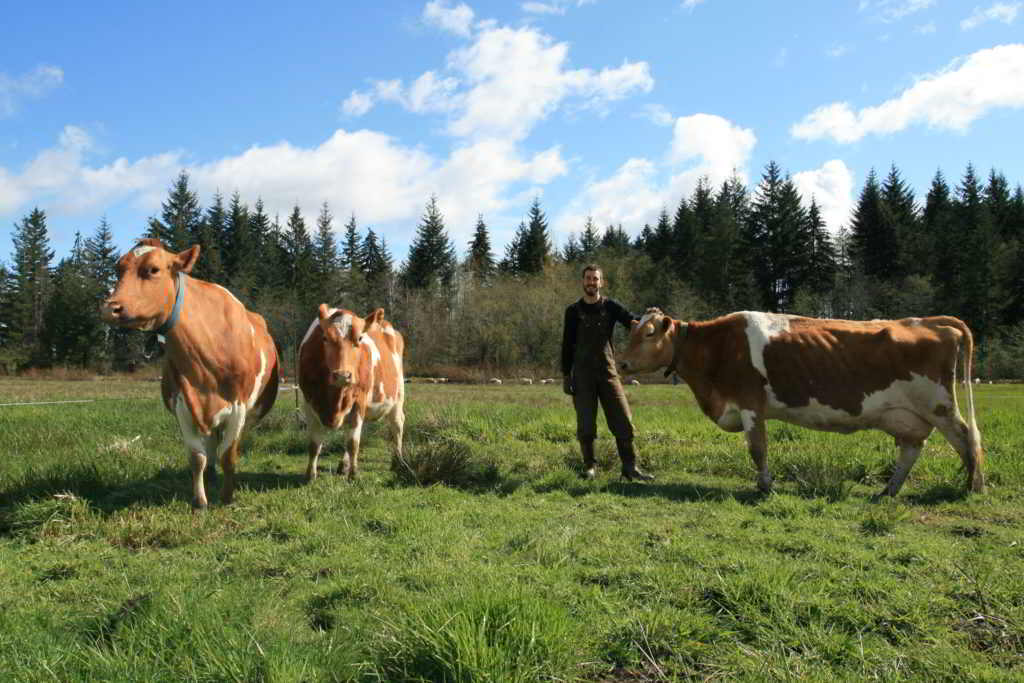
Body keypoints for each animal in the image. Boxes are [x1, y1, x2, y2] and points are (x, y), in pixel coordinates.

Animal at [101, 239, 280, 509]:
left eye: (153, 269)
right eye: (118, 269)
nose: (110, 308)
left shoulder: (238, 406)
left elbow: (229, 455)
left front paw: (227, 498)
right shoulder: (182, 403)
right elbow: (197, 458)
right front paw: (200, 501)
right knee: (212, 443)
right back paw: (212, 475)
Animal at [298, 304, 405, 482]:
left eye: (360, 339)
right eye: (325, 338)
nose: (342, 375)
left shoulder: (358, 402)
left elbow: (353, 443)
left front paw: (354, 474)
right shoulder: (308, 402)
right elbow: (314, 444)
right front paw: (310, 475)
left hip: (397, 397)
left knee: (397, 425)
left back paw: (398, 461)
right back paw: (344, 465)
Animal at [617, 309, 984, 499]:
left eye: (649, 333)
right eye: (632, 329)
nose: (621, 363)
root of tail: (929, 321)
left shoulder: (750, 403)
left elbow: (758, 449)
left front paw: (765, 486)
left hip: (939, 405)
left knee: (967, 438)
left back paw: (972, 487)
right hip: (908, 415)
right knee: (912, 448)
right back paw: (887, 491)